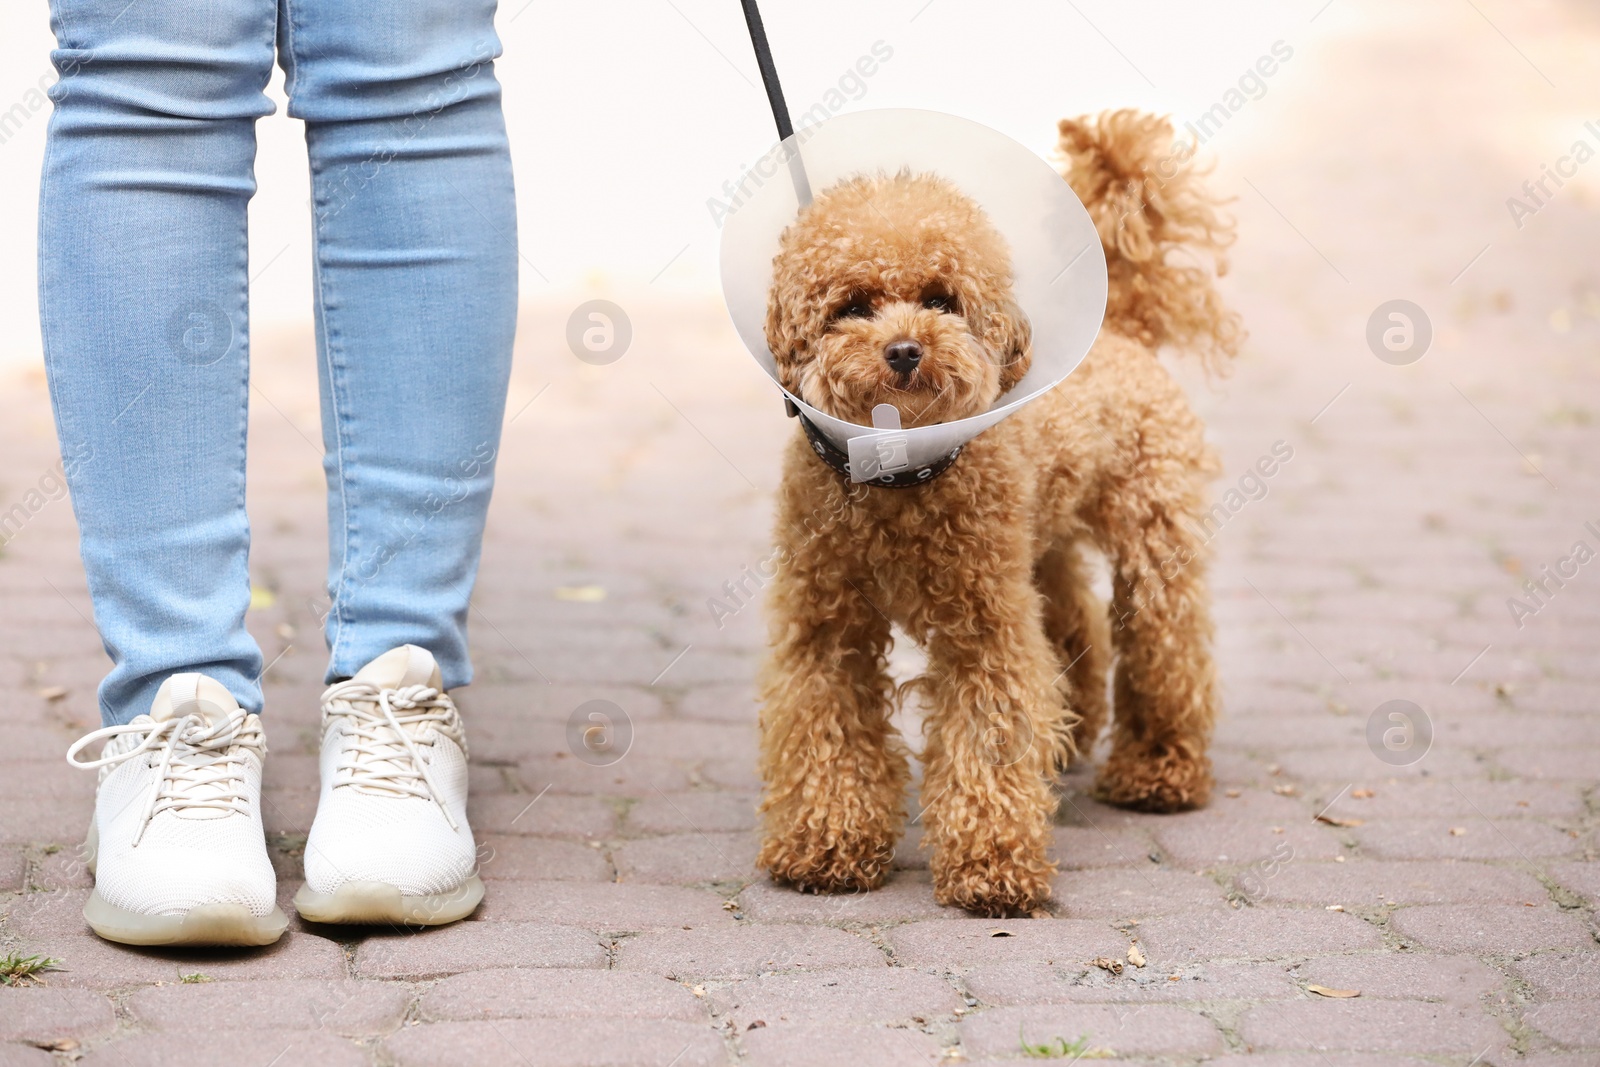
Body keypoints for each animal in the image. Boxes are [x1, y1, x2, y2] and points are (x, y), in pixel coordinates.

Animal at [755, 110, 1241, 921]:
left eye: (942, 298)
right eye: (853, 304)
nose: (905, 350)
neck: (899, 476)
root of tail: (1125, 332)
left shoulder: (984, 629)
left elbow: (988, 734)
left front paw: (992, 866)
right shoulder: (827, 626)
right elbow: (829, 729)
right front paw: (827, 846)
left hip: (1150, 542)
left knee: (1166, 651)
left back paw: (1159, 770)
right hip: (1039, 544)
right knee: (1074, 620)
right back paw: (1075, 735)